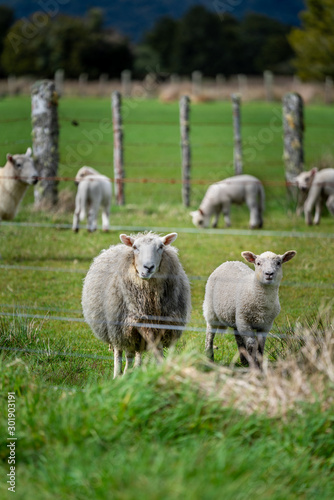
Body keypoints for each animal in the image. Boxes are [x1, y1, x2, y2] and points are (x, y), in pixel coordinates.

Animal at [81, 232, 190, 376]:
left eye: (161, 247)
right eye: (135, 247)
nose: (148, 267)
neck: (149, 301)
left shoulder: (160, 326)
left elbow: (159, 352)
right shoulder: (122, 327)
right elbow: (125, 355)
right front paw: (121, 375)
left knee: (137, 351)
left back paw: (136, 368)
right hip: (119, 328)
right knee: (122, 352)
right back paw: (121, 373)